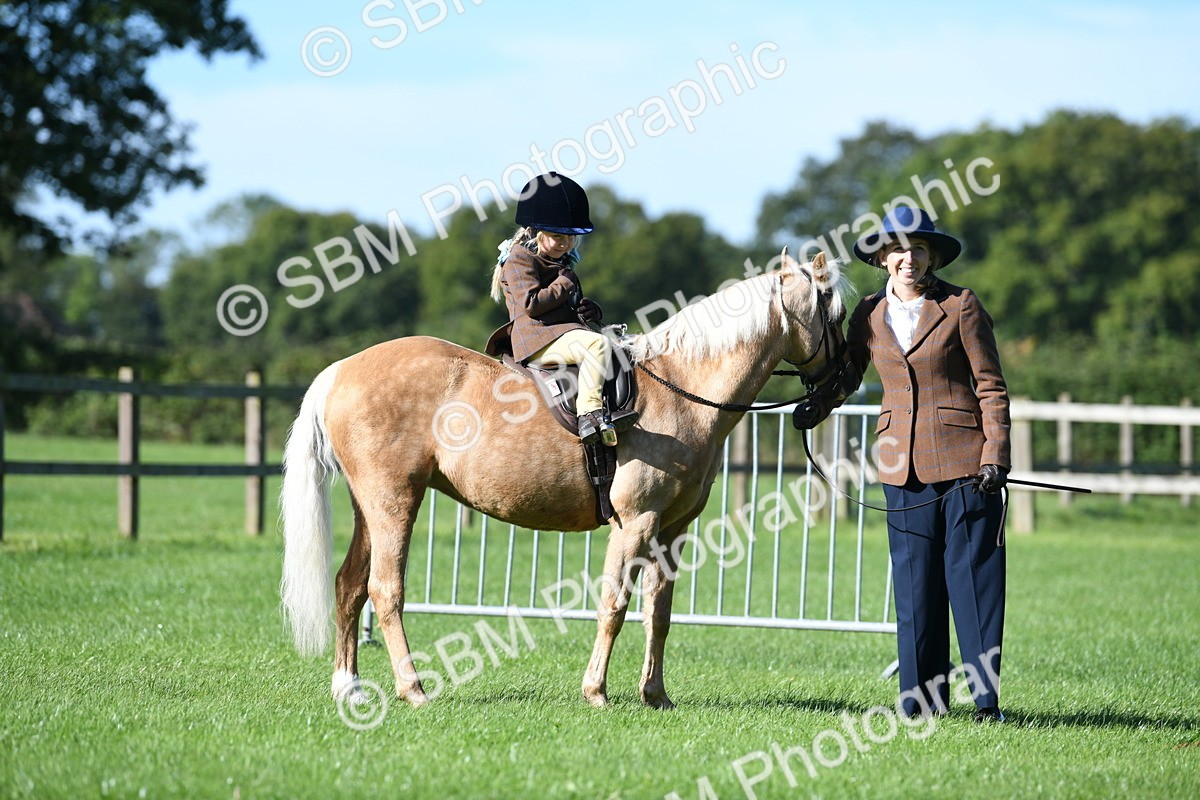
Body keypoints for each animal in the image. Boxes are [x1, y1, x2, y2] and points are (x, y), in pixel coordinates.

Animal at [280, 250, 851, 709]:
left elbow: (659, 612)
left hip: (370, 508)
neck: (681, 388)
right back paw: (413, 689)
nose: (840, 388)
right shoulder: (635, 523)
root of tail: (342, 369)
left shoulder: (672, 530)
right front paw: (596, 692)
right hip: (394, 502)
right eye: (838, 313)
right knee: (385, 589)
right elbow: (614, 605)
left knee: (349, 585)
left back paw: (348, 688)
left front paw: (656, 695)